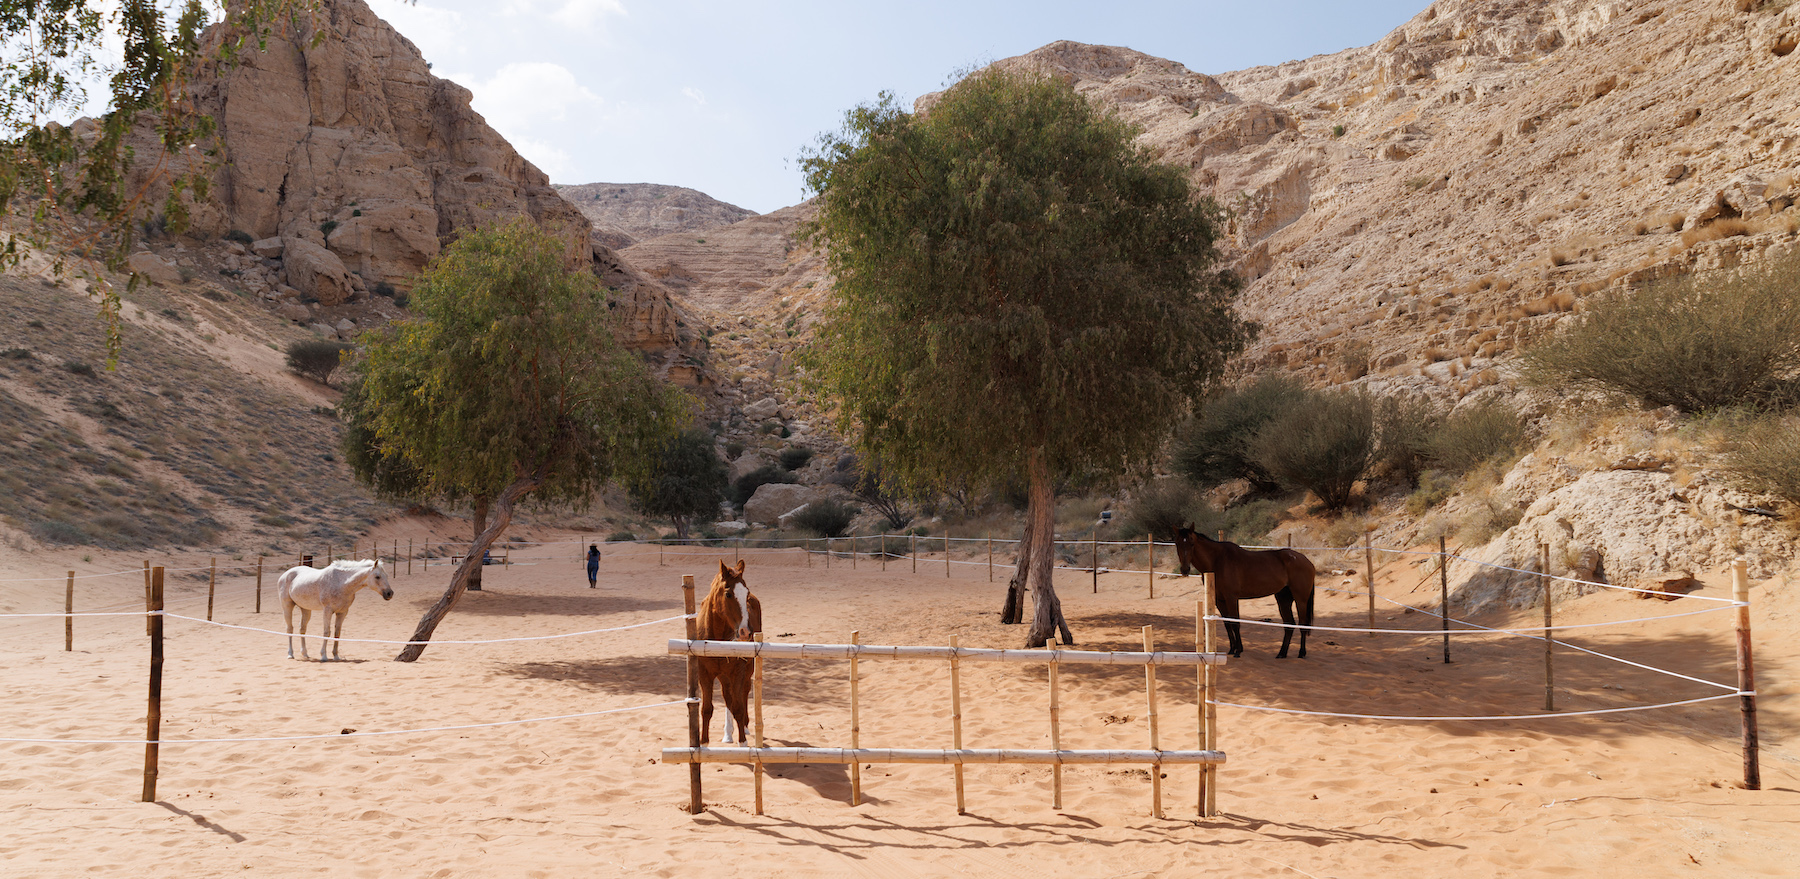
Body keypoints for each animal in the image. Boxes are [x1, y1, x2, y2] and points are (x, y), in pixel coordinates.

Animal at [695, 559, 762, 744]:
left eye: (746, 593)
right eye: (728, 594)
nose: (746, 632)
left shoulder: (737, 671)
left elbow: (738, 707)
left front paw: (743, 742)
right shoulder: (704, 674)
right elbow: (707, 709)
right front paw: (703, 742)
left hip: (747, 669)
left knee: (743, 692)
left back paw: (743, 728)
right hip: (724, 676)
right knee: (727, 697)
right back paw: (727, 734)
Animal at [1173, 525, 1317, 659]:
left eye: (1192, 543)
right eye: (1177, 543)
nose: (1185, 569)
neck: (1217, 561)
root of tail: (1307, 561)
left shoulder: (1231, 598)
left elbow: (1235, 622)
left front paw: (1238, 651)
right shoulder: (1220, 600)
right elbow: (1227, 623)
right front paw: (1232, 649)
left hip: (1300, 600)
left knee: (1303, 624)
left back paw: (1301, 653)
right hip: (1283, 599)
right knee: (1289, 625)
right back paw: (1282, 653)